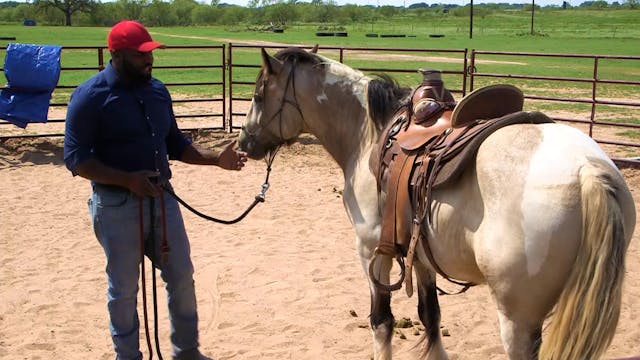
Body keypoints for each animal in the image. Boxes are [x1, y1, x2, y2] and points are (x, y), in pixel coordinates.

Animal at [236, 46, 636, 358]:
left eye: (258, 95)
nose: (243, 142)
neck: (369, 133)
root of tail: (588, 171)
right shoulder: (420, 254)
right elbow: (431, 315)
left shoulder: (371, 250)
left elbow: (381, 321)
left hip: (518, 318)